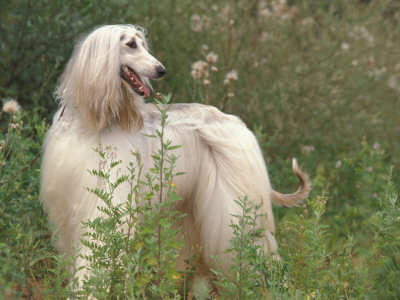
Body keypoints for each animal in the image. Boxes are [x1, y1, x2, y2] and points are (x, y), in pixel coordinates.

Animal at [39, 24, 310, 284]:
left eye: (143, 44)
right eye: (131, 44)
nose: (161, 70)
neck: (87, 122)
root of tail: (238, 123)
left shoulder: (104, 197)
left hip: (236, 202)